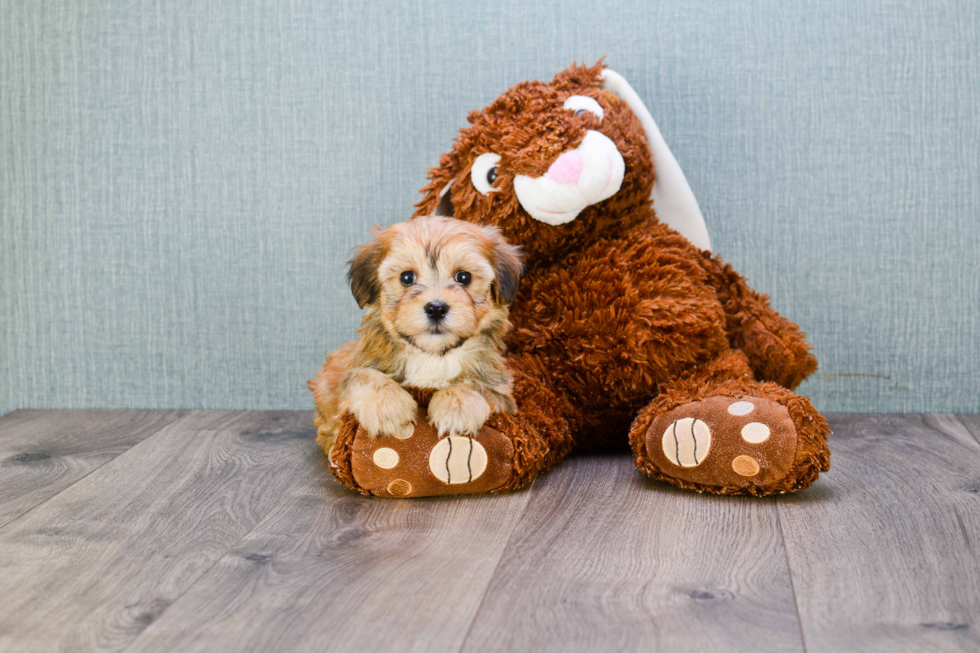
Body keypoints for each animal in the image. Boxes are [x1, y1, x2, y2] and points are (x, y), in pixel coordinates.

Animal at [310, 214, 524, 454]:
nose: (436, 308)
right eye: (407, 278)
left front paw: (456, 405)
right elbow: (364, 376)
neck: (432, 355)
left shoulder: (501, 390)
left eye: (463, 277)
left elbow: (477, 384)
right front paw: (386, 406)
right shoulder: (357, 367)